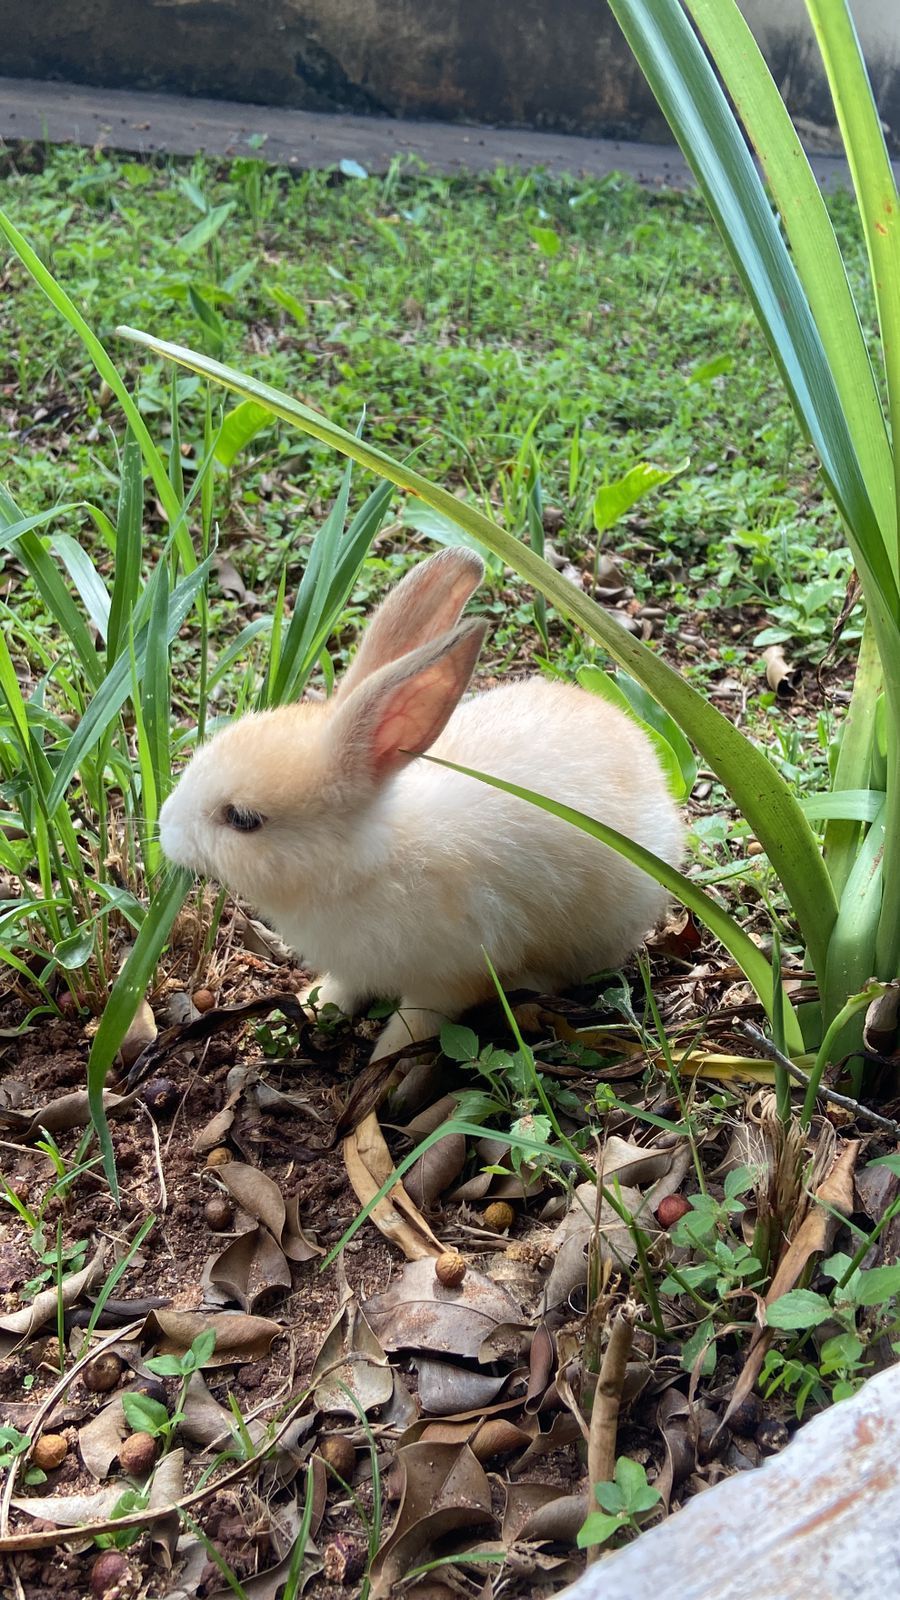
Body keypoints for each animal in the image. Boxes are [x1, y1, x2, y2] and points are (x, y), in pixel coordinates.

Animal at [159, 546, 683, 1059]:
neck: (364, 863)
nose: (166, 832)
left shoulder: (452, 974)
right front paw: (310, 1005)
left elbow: (417, 1022)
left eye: (243, 819)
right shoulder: (357, 965)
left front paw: (384, 1066)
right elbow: (344, 988)